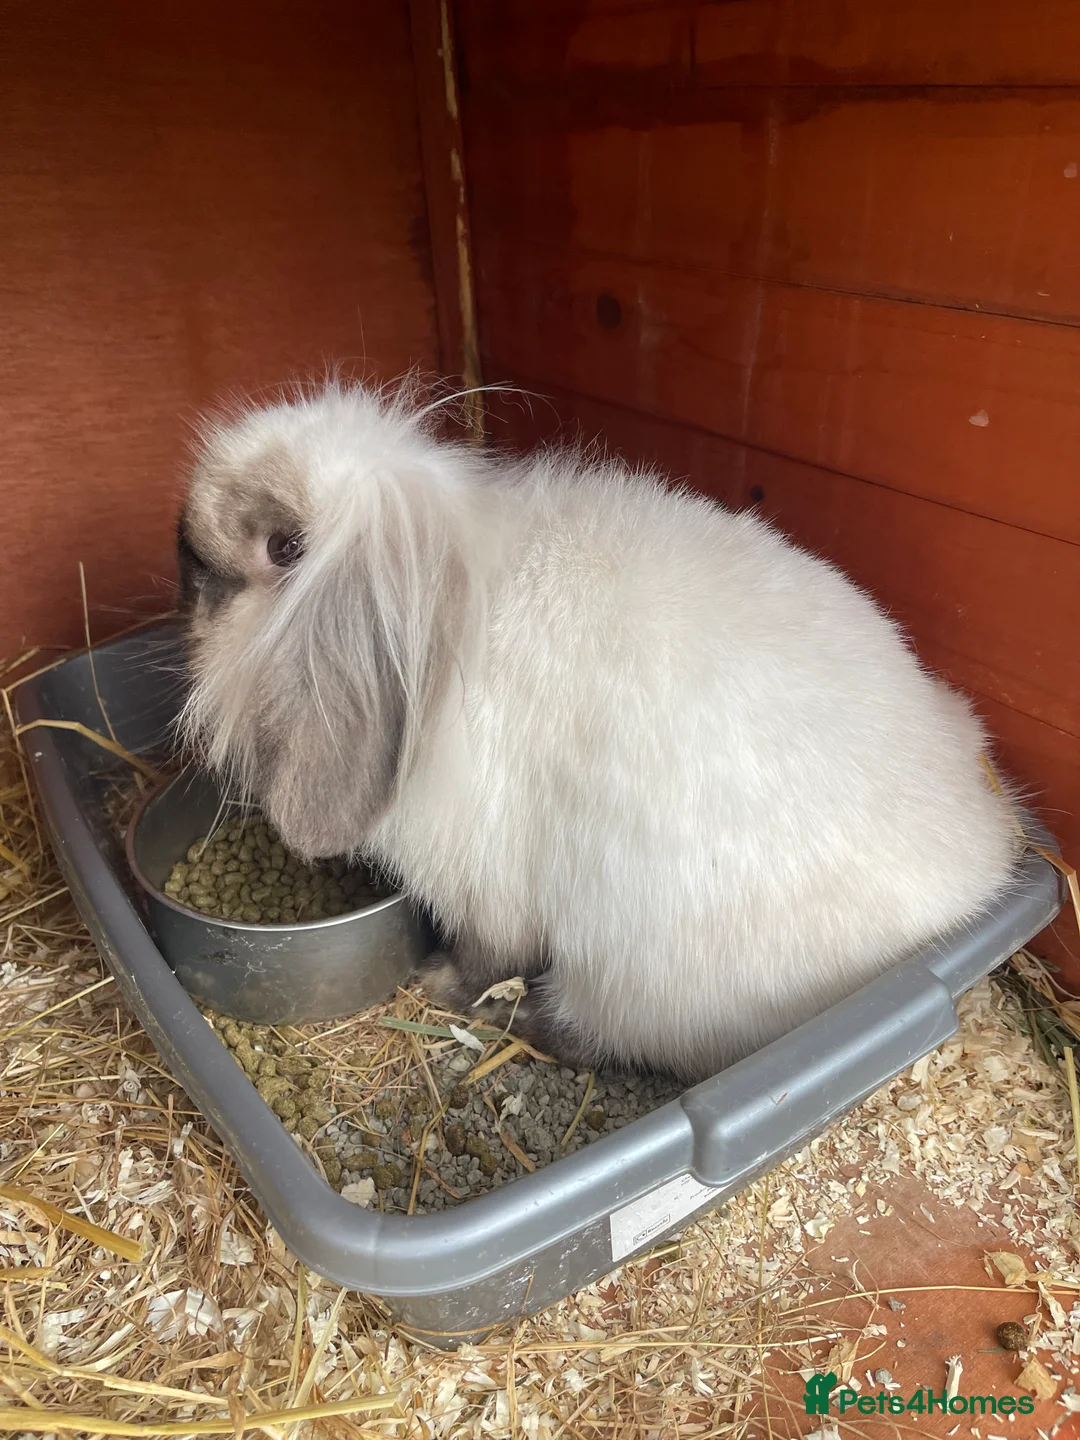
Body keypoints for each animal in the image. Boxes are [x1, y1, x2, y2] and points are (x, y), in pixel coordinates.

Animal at [176, 380, 1022, 1083]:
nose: (183, 559)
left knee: (585, 1034)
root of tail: (972, 877)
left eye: (283, 548)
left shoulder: (486, 886)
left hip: (637, 981)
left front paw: (440, 981)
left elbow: (488, 953)